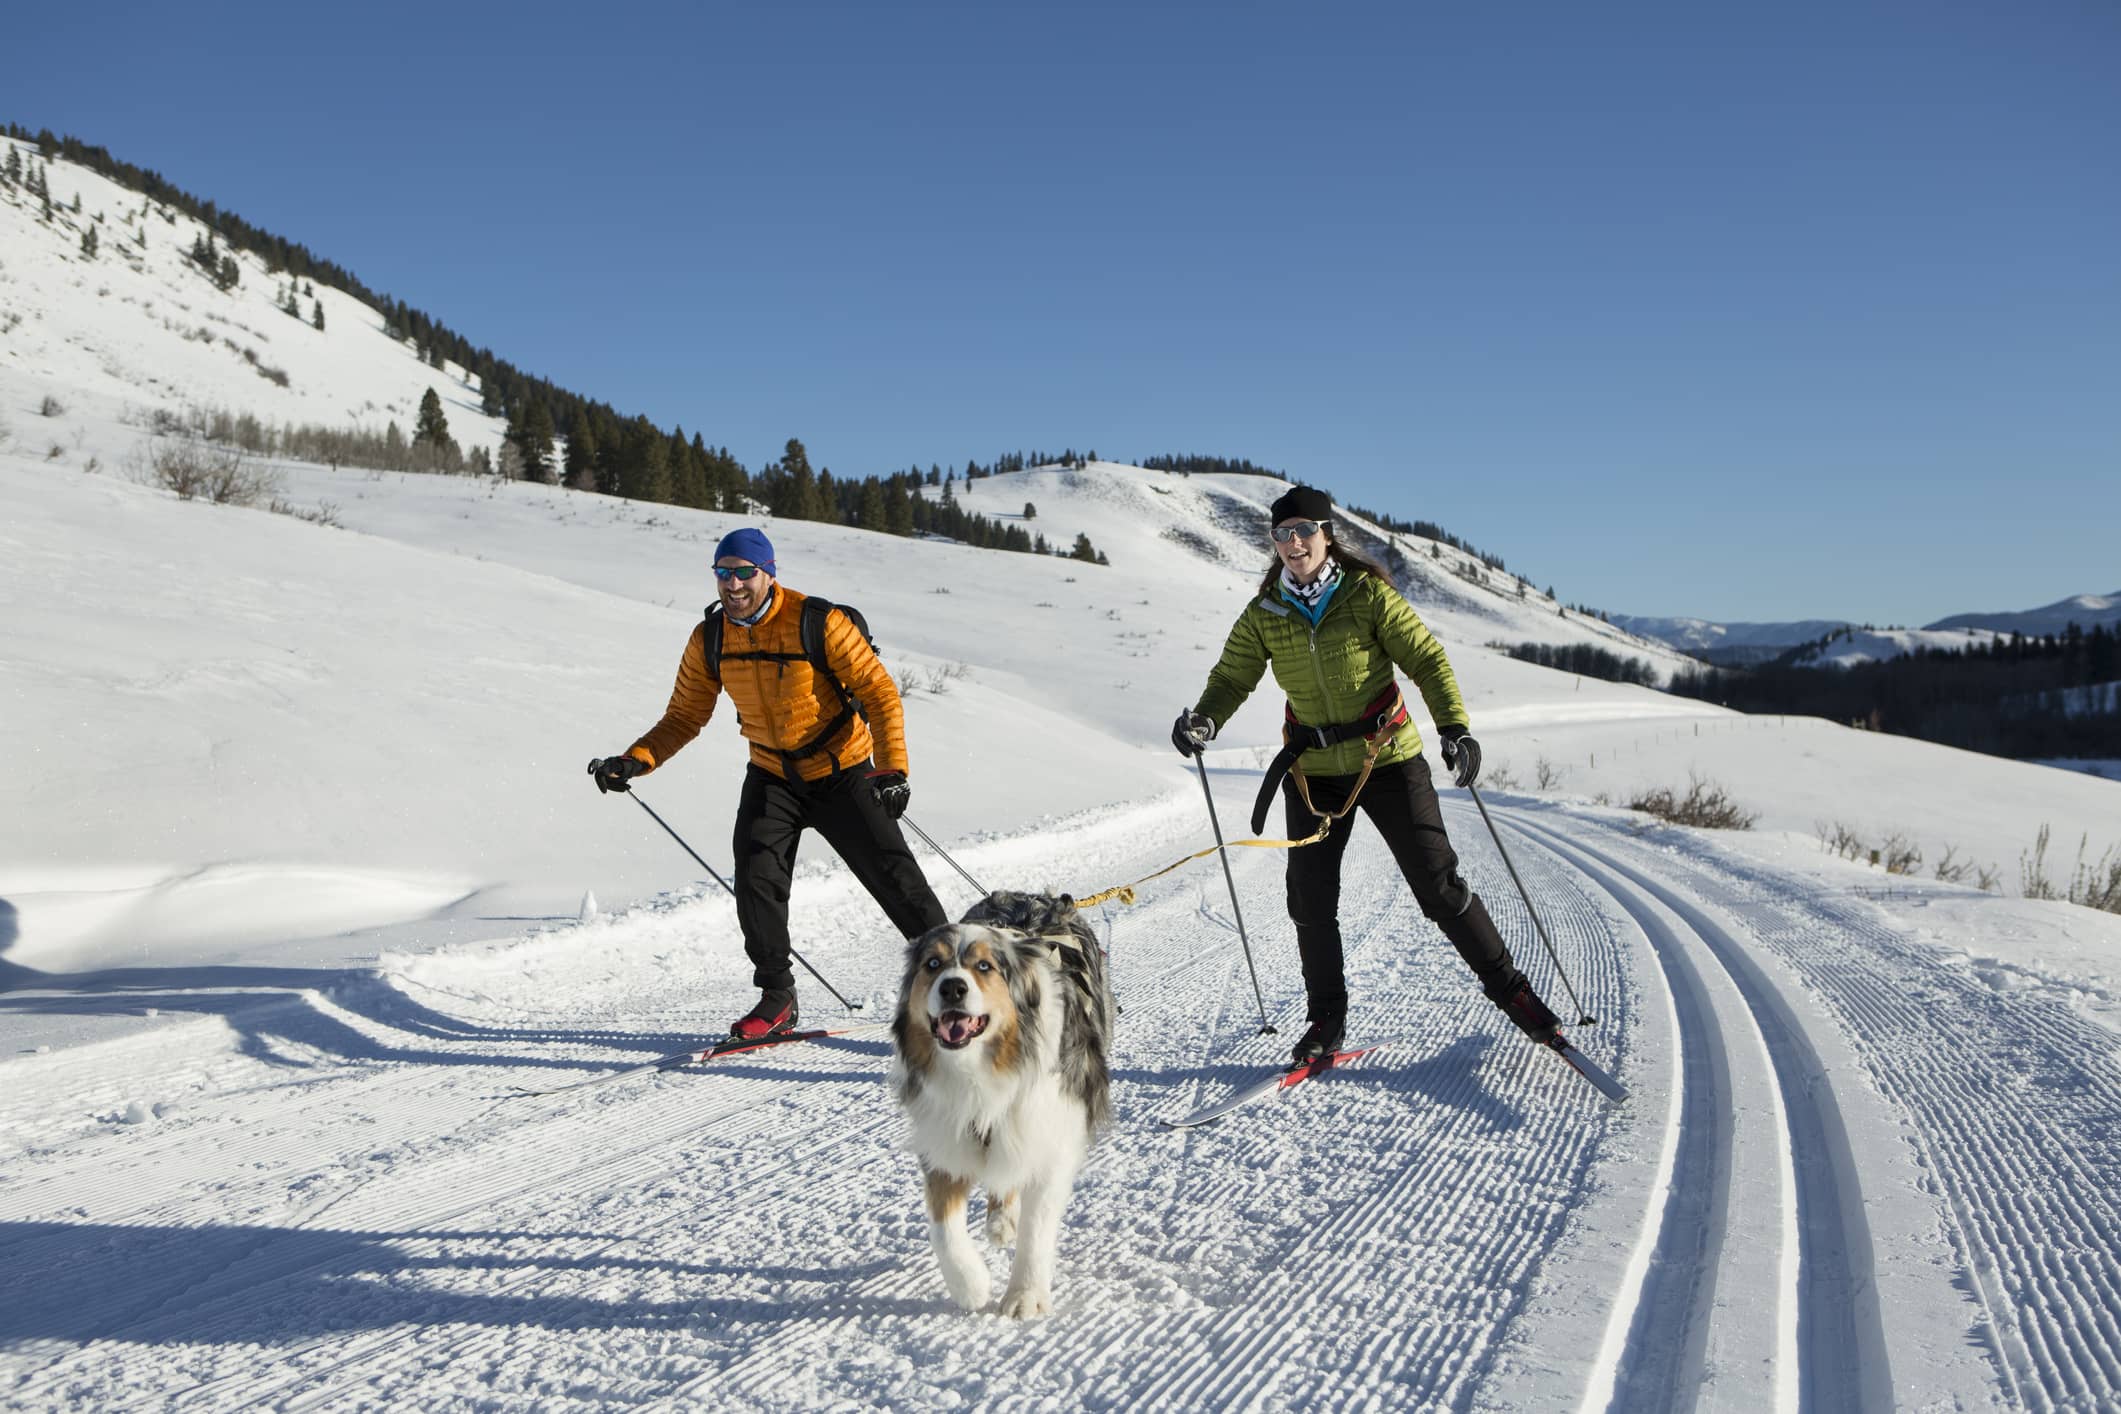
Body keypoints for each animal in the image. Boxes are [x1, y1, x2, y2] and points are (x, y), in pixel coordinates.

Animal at [890, 890, 1119, 1322]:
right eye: (933, 964)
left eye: (985, 966)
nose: (953, 988)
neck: (981, 1068)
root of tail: (1043, 898)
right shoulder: (944, 1134)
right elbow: (942, 1227)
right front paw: (970, 1286)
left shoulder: (1049, 1132)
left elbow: (1037, 1225)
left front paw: (1025, 1295)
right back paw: (999, 1221)